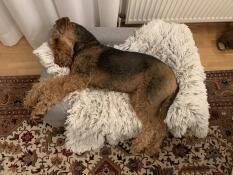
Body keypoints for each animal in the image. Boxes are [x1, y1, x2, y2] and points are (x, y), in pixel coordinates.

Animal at [24, 17, 178, 155]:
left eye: (56, 39)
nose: (58, 63)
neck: (86, 45)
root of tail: (175, 80)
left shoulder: (80, 78)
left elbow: (56, 89)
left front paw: (39, 108)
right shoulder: (74, 76)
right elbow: (48, 83)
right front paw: (31, 98)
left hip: (146, 99)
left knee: (153, 127)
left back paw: (139, 145)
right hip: (142, 98)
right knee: (161, 127)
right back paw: (152, 149)